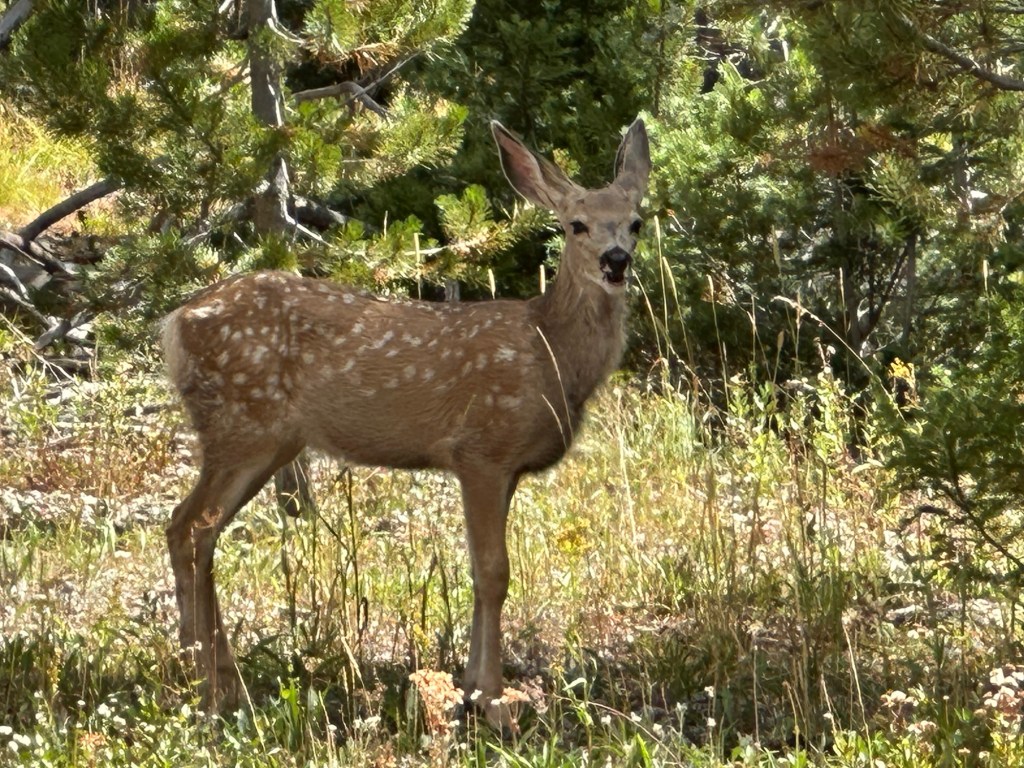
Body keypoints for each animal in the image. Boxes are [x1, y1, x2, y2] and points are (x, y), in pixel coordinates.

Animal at [161, 118, 651, 730]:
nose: (616, 259)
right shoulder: (481, 448)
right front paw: (494, 702)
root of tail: (174, 323)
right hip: (242, 425)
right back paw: (215, 688)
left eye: (636, 221)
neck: (551, 353)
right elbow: (494, 572)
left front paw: (471, 688)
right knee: (192, 528)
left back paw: (204, 676)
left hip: (265, 441)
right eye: (576, 224)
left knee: (188, 529)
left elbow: (480, 573)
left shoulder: (505, 467)